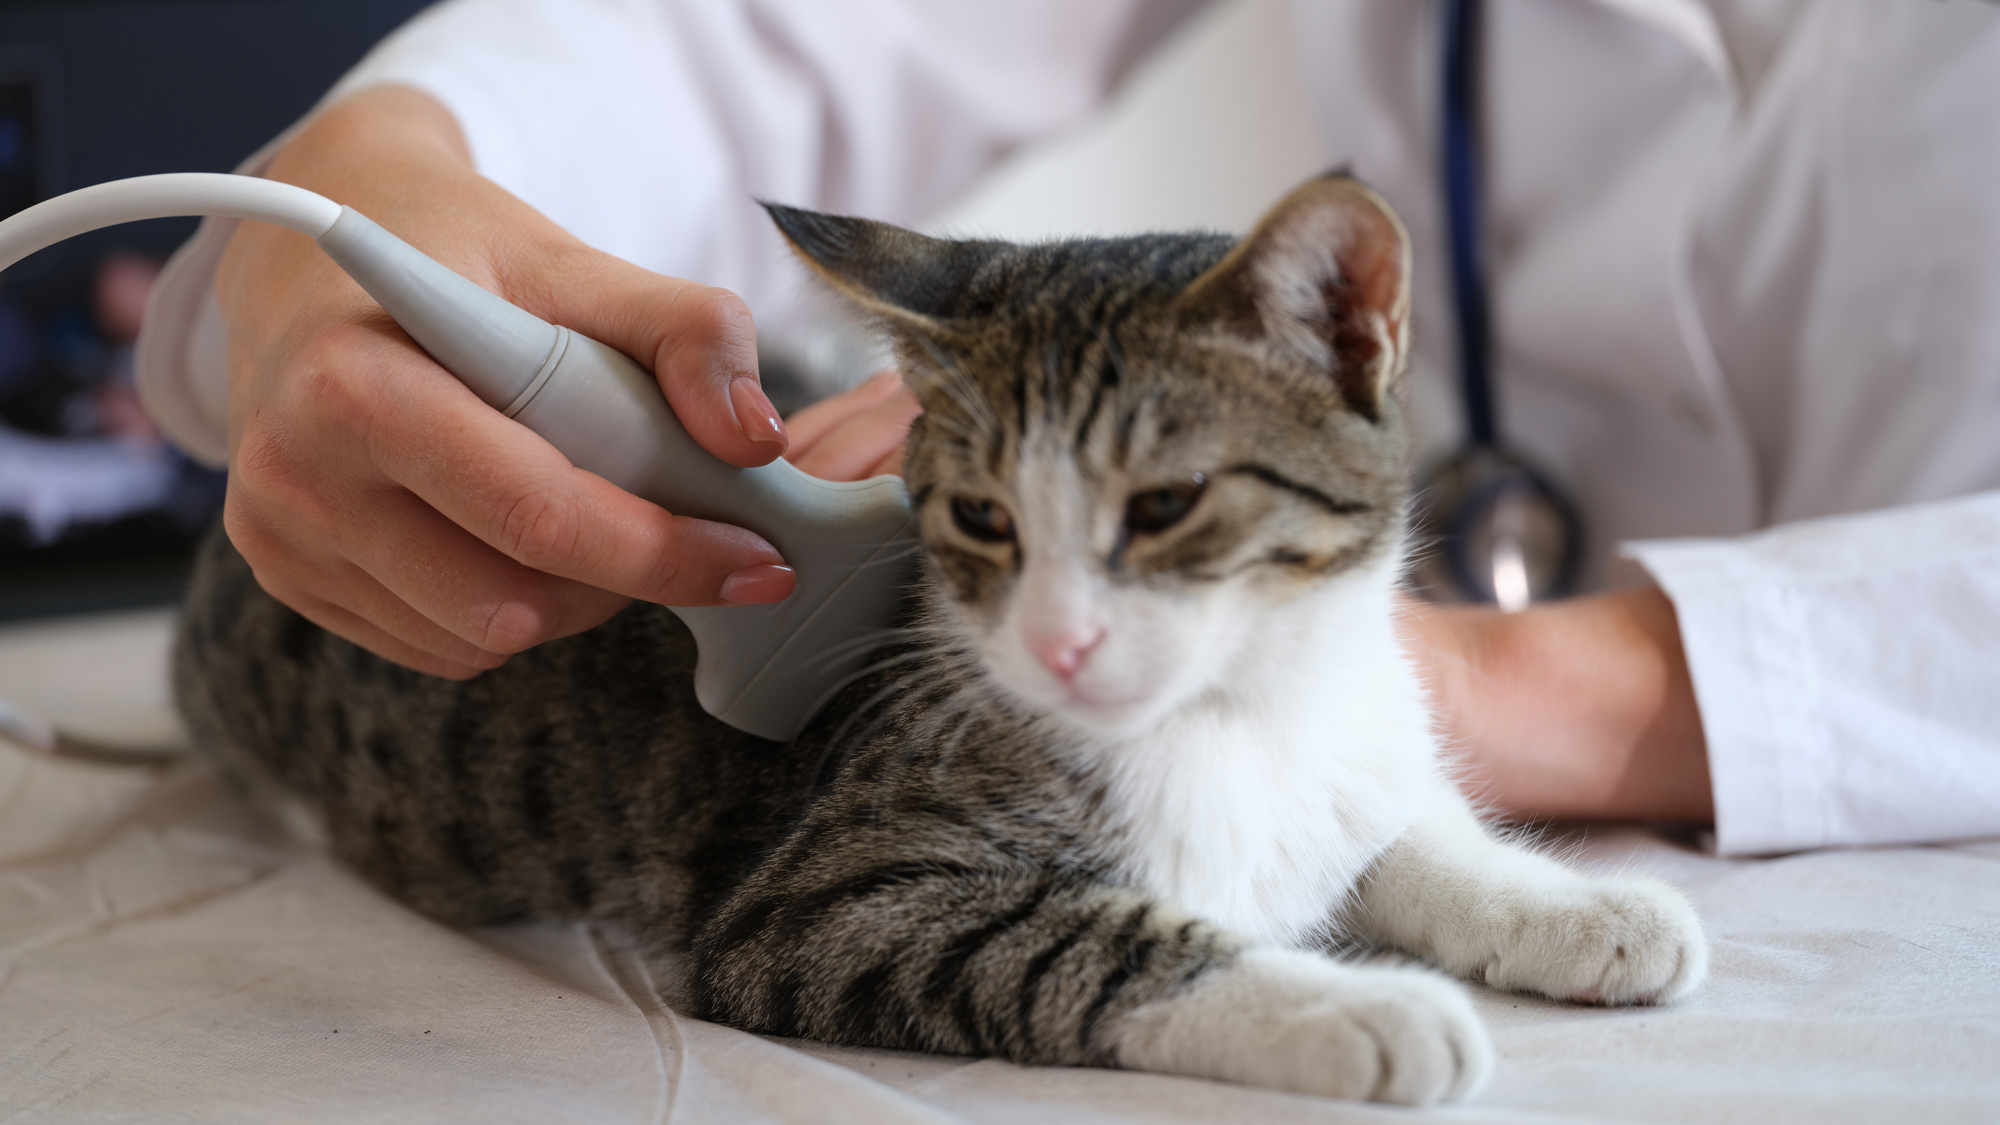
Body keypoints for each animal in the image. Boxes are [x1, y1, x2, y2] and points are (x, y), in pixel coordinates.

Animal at [176, 173, 1704, 1104]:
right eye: (980, 514)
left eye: (1165, 505)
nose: (1063, 646)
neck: (1230, 709)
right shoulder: (823, 900)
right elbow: (1084, 939)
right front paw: (1355, 1011)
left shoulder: (1341, 738)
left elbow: (1403, 828)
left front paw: (1582, 909)